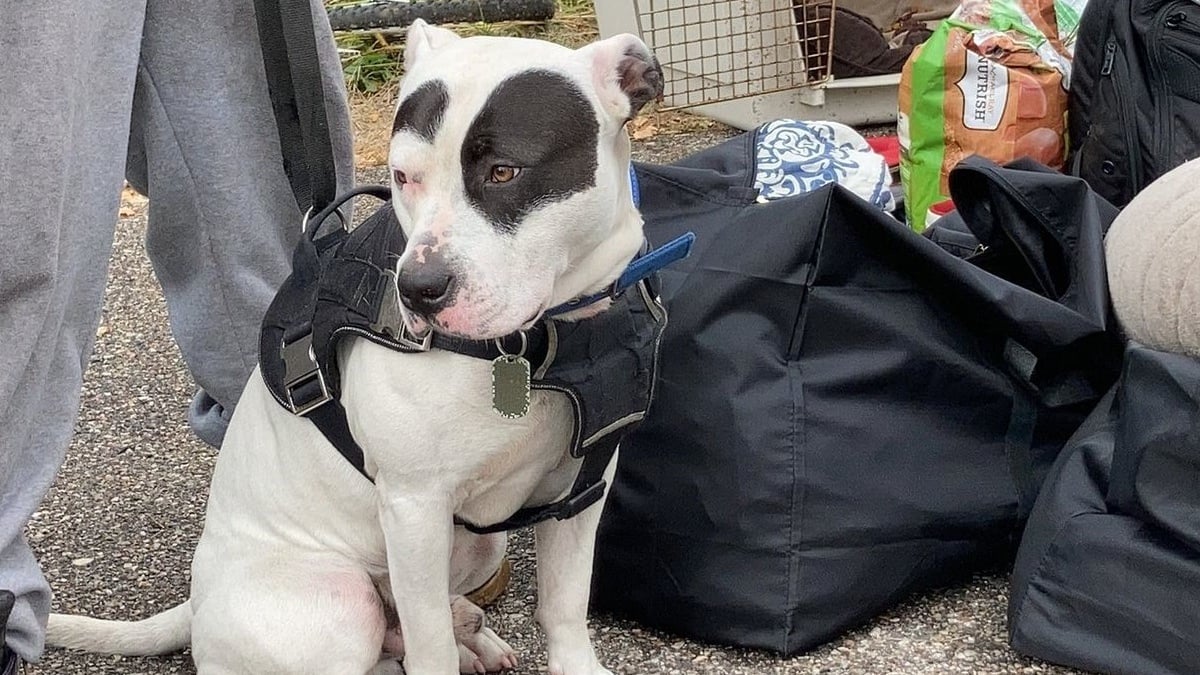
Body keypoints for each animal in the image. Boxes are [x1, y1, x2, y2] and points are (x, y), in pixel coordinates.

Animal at [44, 21, 676, 672]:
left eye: (505, 172)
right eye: (402, 177)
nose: (418, 289)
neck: (542, 340)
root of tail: (196, 606)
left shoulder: (583, 489)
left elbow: (565, 603)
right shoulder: (414, 507)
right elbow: (429, 645)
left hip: (479, 549)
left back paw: (474, 634)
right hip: (341, 603)